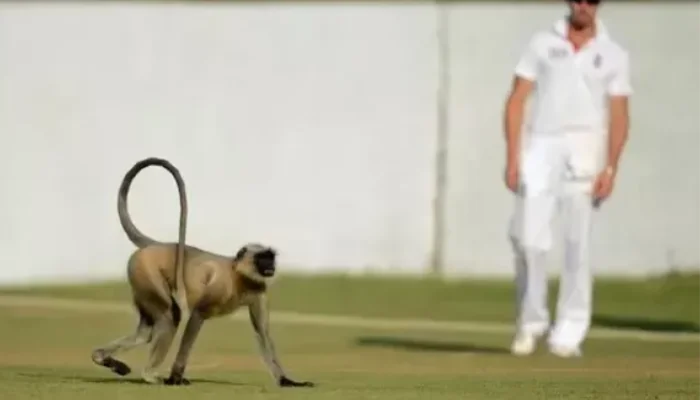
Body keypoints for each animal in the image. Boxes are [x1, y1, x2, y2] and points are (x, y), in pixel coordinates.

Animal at [89, 157, 312, 388]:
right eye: (262, 258)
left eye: (270, 257)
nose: (270, 266)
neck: (239, 276)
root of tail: (157, 245)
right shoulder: (221, 285)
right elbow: (195, 317)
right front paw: (175, 377)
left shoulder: (258, 289)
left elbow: (262, 333)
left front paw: (287, 380)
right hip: (145, 271)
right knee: (171, 316)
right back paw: (149, 374)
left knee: (145, 333)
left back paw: (103, 358)